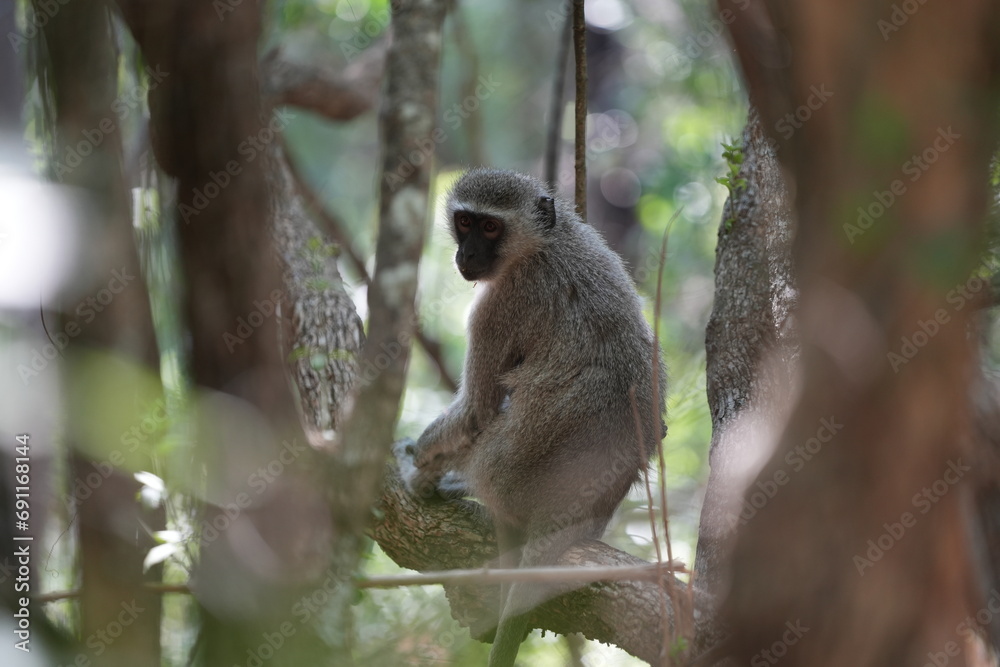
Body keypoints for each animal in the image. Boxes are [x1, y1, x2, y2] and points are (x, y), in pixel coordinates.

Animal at [398, 168, 666, 667]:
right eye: (465, 222)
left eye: (490, 227)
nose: (466, 254)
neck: (543, 243)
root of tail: (566, 509)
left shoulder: (500, 304)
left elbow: (476, 409)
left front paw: (418, 459)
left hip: (505, 475)